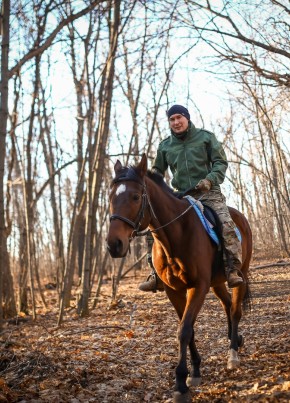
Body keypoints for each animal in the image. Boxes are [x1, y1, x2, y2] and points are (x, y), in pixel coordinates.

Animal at [106, 155, 251, 403]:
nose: (114, 245)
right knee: (226, 305)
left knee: (235, 310)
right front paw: (195, 371)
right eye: (110, 197)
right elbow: (188, 329)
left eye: (135, 197)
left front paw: (181, 383)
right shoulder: (174, 290)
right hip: (217, 282)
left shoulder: (198, 287)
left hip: (240, 274)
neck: (176, 233)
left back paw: (233, 353)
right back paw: (236, 339)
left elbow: (184, 330)